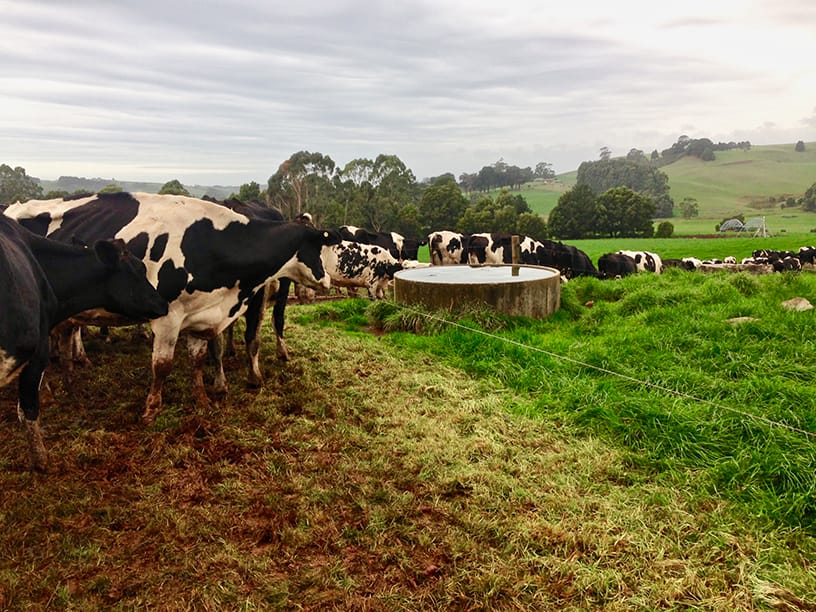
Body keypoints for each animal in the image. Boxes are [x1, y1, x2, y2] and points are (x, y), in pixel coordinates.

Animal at [5, 192, 338, 426]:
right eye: (317, 246)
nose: (326, 279)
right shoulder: (167, 316)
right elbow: (162, 366)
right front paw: (151, 409)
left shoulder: (201, 315)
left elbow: (198, 360)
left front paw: (202, 399)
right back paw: (45, 392)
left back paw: (68, 382)